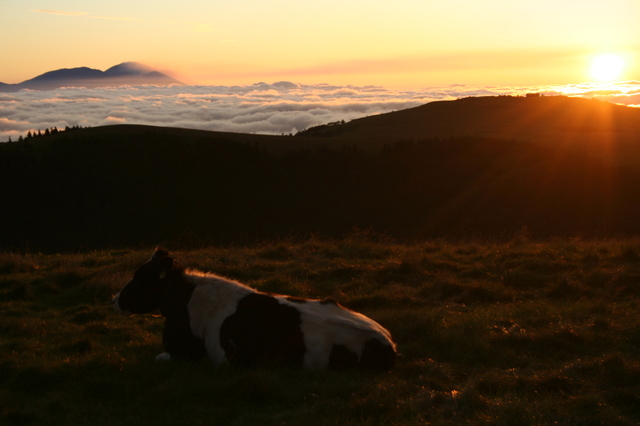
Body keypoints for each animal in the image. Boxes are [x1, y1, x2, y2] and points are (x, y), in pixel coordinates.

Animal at [112, 248, 398, 372]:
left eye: (139, 277)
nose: (114, 299)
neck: (185, 299)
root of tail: (387, 341)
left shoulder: (185, 354)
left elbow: (159, 357)